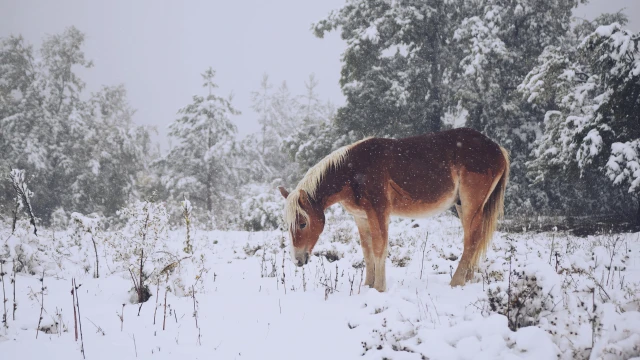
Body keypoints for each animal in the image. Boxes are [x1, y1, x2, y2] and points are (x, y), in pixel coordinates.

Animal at [278, 128, 508, 292]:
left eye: (303, 223)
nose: (297, 260)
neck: (353, 171)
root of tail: (498, 149)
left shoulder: (378, 212)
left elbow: (380, 248)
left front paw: (379, 288)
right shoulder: (361, 218)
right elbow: (368, 251)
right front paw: (367, 286)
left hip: (471, 205)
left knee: (472, 240)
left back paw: (456, 282)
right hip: (462, 206)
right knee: (475, 239)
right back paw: (467, 279)